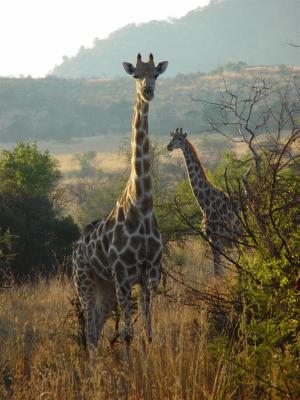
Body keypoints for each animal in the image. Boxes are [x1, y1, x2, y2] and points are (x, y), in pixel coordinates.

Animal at [72, 54, 168, 350]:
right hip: (85, 282)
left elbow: (148, 333)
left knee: (95, 330)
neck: (143, 206)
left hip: (106, 288)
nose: (148, 91)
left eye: (156, 74)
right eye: (136, 75)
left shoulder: (151, 273)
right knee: (90, 333)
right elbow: (127, 334)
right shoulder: (124, 275)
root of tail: (75, 248)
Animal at [166, 128, 241, 276]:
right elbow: (217, 268)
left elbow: (218, 268)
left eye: (180, 139)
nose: (169, 146)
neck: (204, 204)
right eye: (171, 138)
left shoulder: (217, 237)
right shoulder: (209, 236)